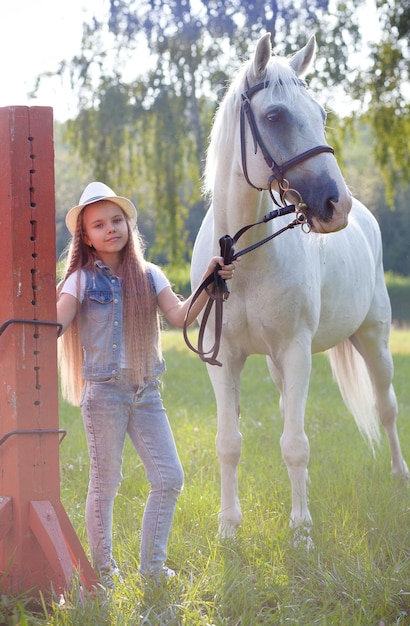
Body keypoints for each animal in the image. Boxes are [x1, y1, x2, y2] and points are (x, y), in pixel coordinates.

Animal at [191, 33, 408, 536]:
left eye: (321, 114)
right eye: (275, 116)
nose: (335, 204)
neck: (243, 261)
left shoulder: (295, 349)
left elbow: (296, 445)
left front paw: (302, 531)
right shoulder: (224, 361)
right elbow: (229, 442)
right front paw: (228, 527)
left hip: (374, 340)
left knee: (386, 407)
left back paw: (398, 477)